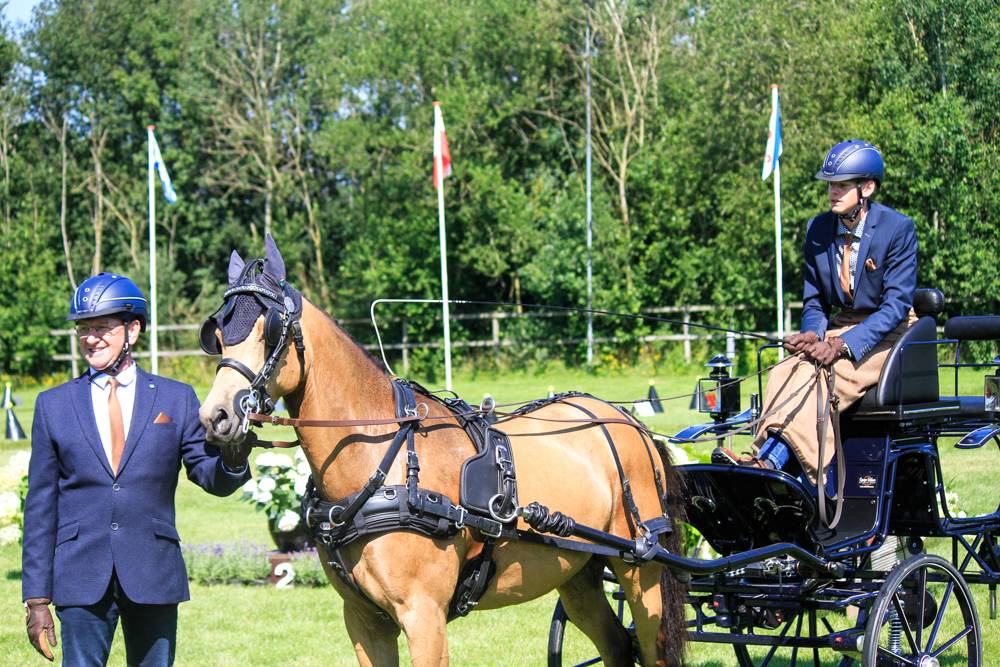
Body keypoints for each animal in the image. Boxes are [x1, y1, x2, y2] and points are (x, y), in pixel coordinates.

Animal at [198, 235, 687, 666]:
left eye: (270, 331)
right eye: (217, 334)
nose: (215, 416)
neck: (385, 461)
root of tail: (629, 421)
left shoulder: (423, 615)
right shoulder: (364, 620)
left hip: (641, 571)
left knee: (655, 649)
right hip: (578, 573)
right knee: (617, 647)